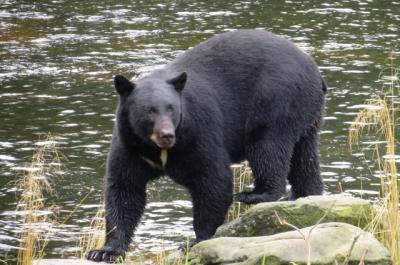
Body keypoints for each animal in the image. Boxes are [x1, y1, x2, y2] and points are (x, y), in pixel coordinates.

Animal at [85, 29, 324, 260]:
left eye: (171, 108)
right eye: (149, 111)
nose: (167, 135)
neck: (156, 148)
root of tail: (314, 70)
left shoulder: (197, 131)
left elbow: (212, 179)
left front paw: (195, 240)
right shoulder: (129, 145)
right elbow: (125, 190)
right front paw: (105, 250)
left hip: (276, 99)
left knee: (268, 146)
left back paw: (256, 194)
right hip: (306, 113)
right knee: (304, 157)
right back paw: (303, 194)